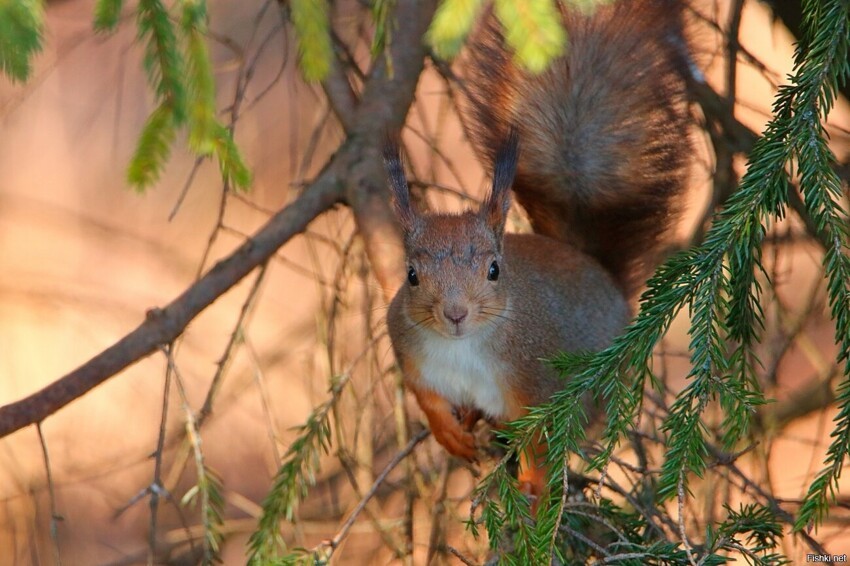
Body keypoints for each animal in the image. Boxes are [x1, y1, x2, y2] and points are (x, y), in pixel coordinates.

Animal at [384, 0, 688, 506]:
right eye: (411, 275)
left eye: (494, 269)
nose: (455, 314)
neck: (463, 348)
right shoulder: (413, 358)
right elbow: (427, 401)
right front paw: (448, 433)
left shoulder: (537, 385)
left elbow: (542, 442)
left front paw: (535, 487)